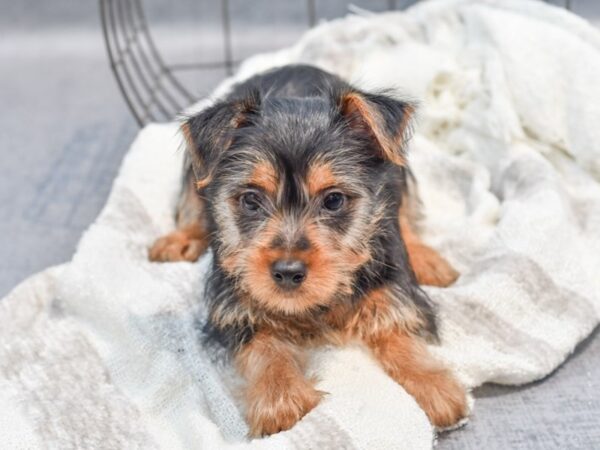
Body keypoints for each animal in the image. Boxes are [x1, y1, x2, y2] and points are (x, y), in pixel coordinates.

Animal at [148, 65, 466, 438]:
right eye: (251, 200)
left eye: (333, 200)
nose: (287, 272)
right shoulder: (234, 302)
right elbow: (263, 343)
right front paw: (281, 398)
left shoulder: (390, 275)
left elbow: (394, 320)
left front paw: (433, 386)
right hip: (195, 165)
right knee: (192, 196)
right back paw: (179, 238)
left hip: (396, 166)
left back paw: (427, 258)